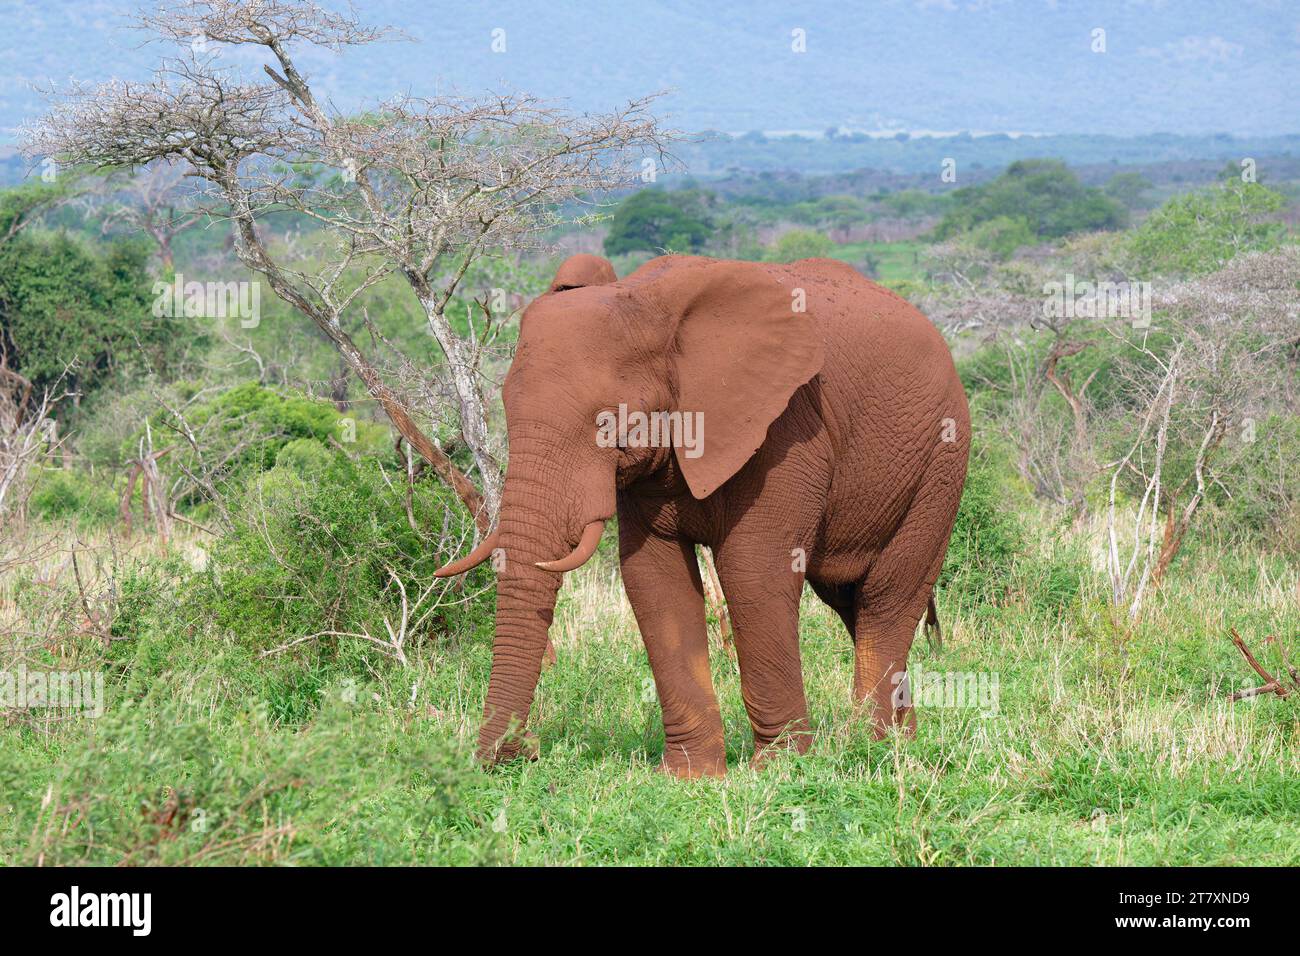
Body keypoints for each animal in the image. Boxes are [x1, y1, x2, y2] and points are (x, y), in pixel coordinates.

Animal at [436, 252, 967, 780]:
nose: (523, 752)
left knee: (885, 599)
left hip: (940, 464)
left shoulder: (787, 429)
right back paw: (902, 742)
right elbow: (653, 579)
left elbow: (752, 571)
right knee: (849, 600)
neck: (654, 307)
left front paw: (776, 770)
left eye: (607, 421)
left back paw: (872, 749)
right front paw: (688, 775)